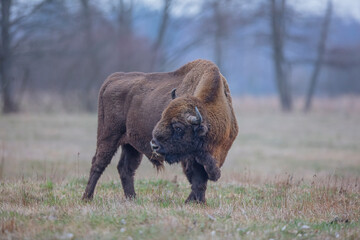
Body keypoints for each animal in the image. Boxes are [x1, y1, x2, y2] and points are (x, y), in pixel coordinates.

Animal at [82, 59, 238, 203]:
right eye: (162, 117)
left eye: (178, 127)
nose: (154, 145)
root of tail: (112, 79)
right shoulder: (190, 158)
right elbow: (197, 180)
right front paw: (192, 201)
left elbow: (202, 180)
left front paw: (199, 202)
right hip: (108, 137)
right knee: (98, 163)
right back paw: (87, 197)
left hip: (130, 145)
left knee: (125, 168)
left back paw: (132, 198)